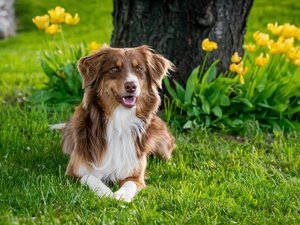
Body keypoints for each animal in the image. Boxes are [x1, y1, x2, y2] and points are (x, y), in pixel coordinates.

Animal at [62, 44, 175, 202]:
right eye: (114, 69)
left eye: (139, 68)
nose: (131, 86)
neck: (120, 120)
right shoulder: (74, 171)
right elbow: (90, 177)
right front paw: (106, 193)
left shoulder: (135, 174)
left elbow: (130, 184)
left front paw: (121, 196)